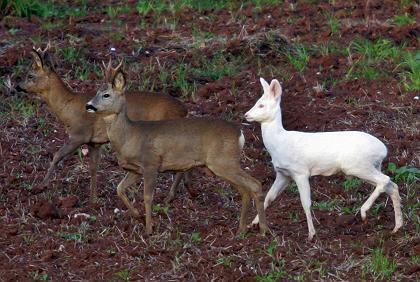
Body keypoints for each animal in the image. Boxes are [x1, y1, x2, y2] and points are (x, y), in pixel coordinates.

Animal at [16, 46, 194, 205]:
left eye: (30, 75)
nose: (18, 86)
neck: (67, 107)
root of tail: (184, 109)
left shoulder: (79, 134)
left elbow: (57, 156)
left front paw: (41, 186)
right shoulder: (94, 142)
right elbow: (93, 168)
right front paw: (93, 200)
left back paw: (170, 196)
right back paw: (188, 189)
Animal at [85, 69, 270, 235]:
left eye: (106, 95)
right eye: (96, 92)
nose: (88, 106)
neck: (129, 136)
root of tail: (240, 134)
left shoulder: (151, 163)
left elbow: (147, 197)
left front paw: (149, 229)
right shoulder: (136, 169)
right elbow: (119, 189)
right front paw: (138, 216)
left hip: (224, 162)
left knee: (254, 184)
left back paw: (263, 229)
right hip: (223, 165)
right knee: (246, 189)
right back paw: (242, 229)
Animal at [244, 77, 402, 240]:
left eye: (261, 105)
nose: (246, 115)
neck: (279, 143)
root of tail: (383, 150)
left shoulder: (300, 172)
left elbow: (305, 203)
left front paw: (311, 234)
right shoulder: (283, 174)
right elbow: (269, 197)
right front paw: (252, 224)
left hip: (357, 165)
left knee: (385, 180)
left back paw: (364, 212)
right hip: (369, 166)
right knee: (391, 185)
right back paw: (397, 227)